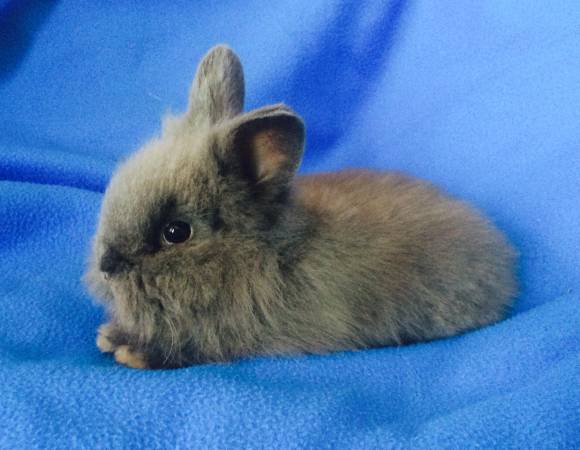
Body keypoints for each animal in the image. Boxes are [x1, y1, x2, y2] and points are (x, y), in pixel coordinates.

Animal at [82, 44, 516, 370]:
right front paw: (110, 336)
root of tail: (505, 255)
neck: (261, 255)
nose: (106, 266)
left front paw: (130, 351)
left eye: (176, 232)